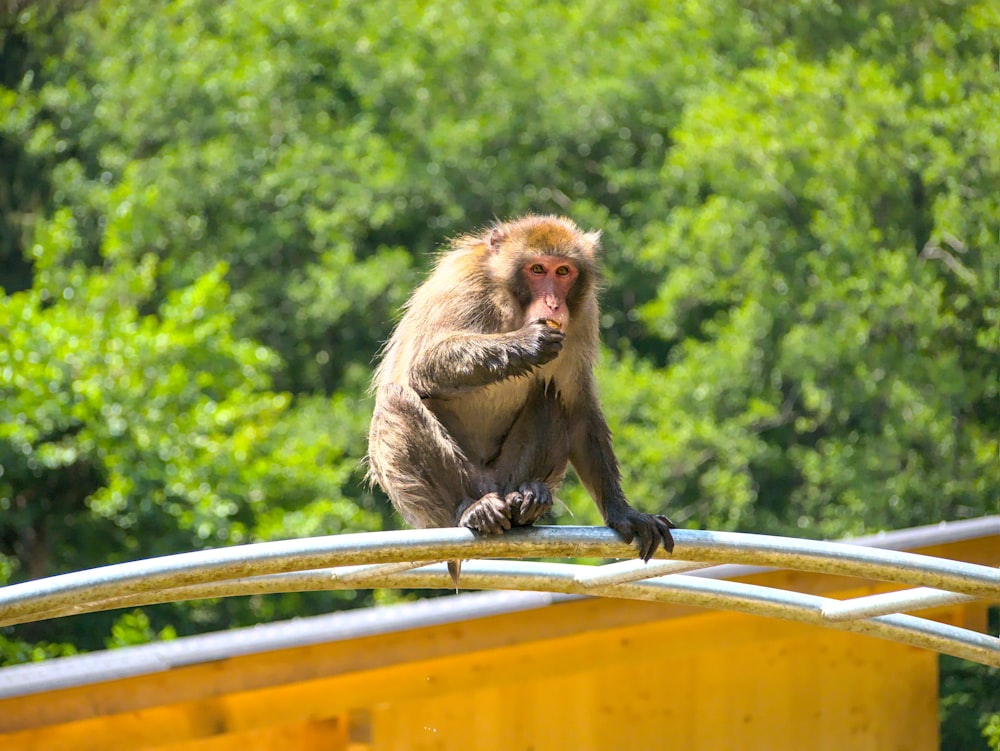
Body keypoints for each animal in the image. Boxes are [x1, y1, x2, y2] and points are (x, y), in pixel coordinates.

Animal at [364, 214, 676, 584]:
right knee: (396, 399)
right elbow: (422, 365)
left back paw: (528, 498)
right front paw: (527, 343)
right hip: (445, 495)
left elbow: (579, 407)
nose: (554, 303)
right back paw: (470, 508)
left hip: (506, 474)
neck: (510, 305)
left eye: (563, 271)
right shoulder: (462, 284)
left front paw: (623, 512)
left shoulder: (583, 315)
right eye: (537, 269)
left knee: (551, 394)